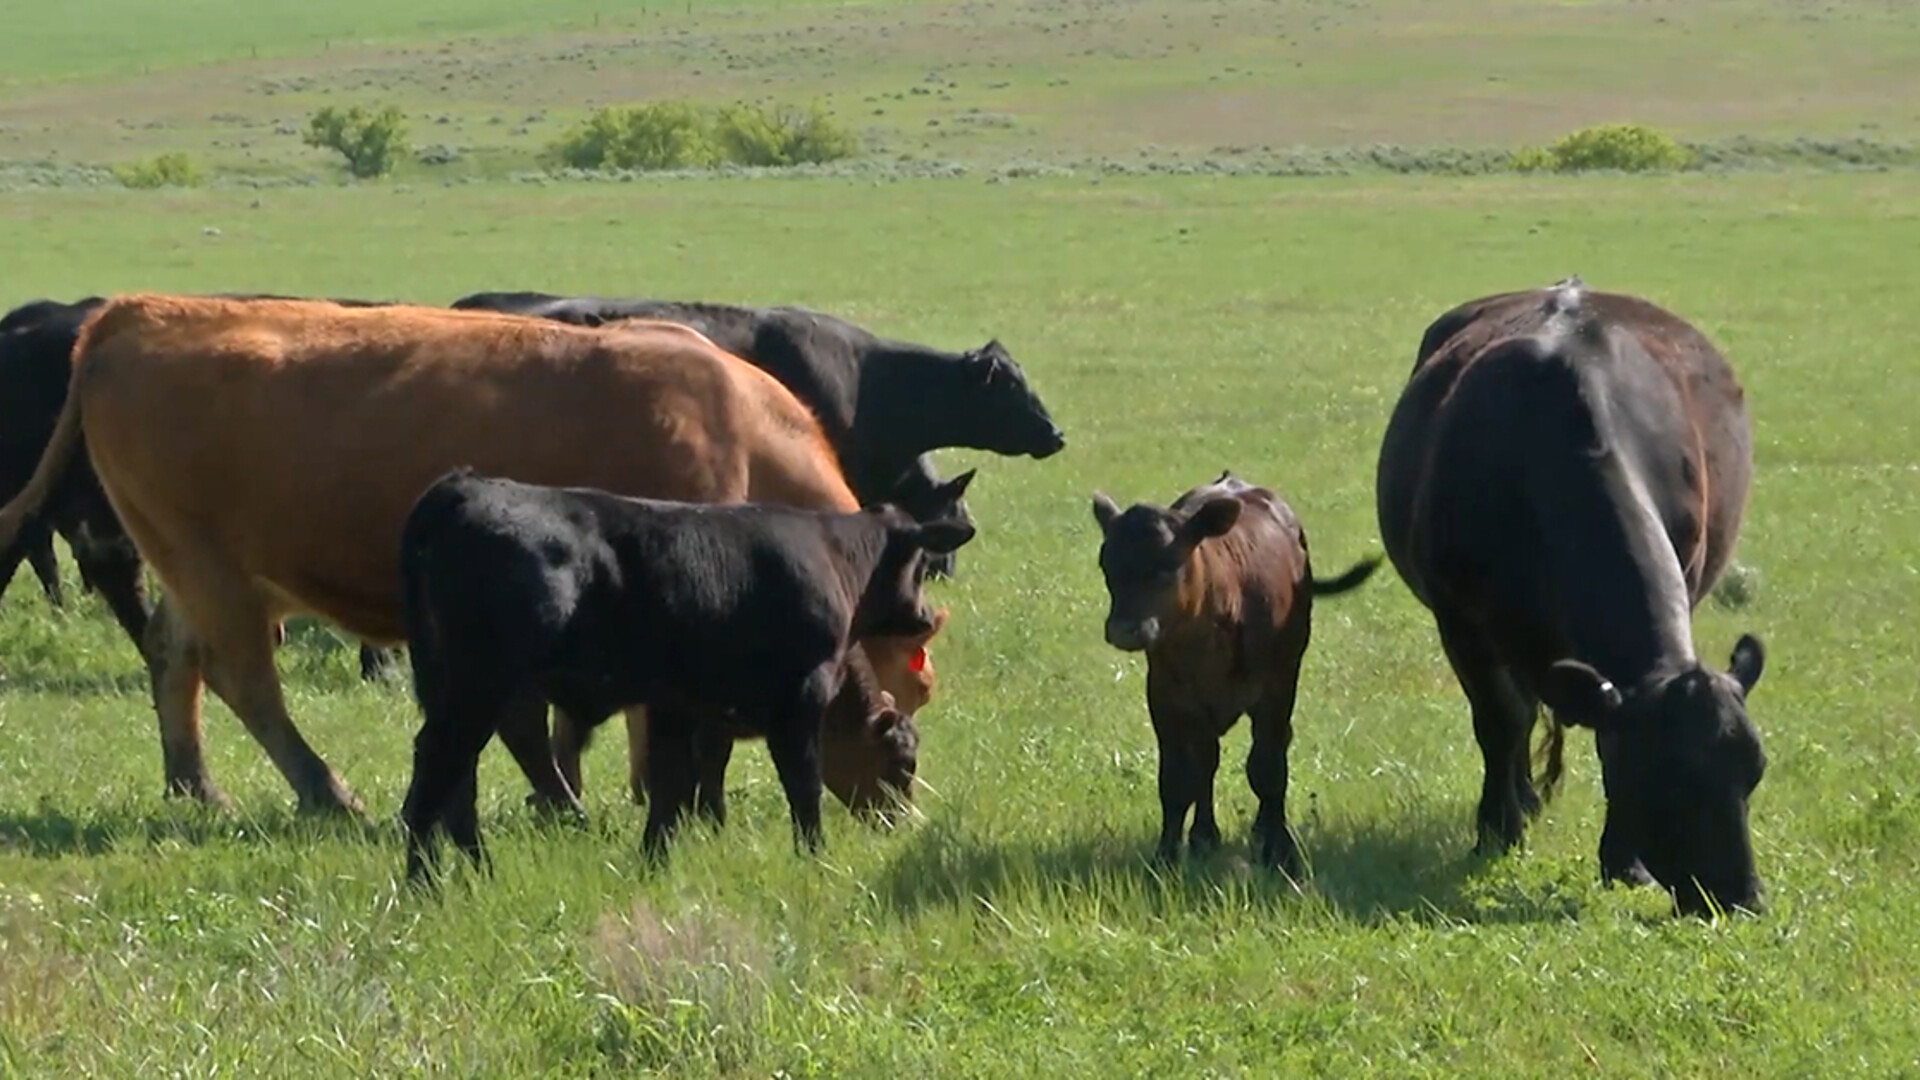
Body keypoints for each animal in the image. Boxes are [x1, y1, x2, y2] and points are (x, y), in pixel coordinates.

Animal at [396, 469, 973, 881]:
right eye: (902, 763)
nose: (897, 824)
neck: (835, 557)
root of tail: (464, 486)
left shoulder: (677, 707)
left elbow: (671, 788)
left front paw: (655, 862)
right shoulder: (797, 702)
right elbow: (802, 789)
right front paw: (814, 859)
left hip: (454, 687)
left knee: (458, 784)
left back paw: (474, 874)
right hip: (478, 687)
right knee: (437, 773)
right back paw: (425, 885)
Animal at [1092, 471, 1380, 878]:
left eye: (1169, 564)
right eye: (1107, 566)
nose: (1124, 629)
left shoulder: (1276, 687)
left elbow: (1267, 768)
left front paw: (1279, 851)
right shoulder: (1165, 695)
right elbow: (1178, 779)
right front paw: (1166, 858)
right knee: (1206, 760)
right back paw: (1204, 837)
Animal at [1375, 277, 1769, 916]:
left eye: (1753, 770)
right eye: (1667, 778)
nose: (1741, 898)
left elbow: (1598, 733)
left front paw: (1624, 862)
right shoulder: (1460, 619)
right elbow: (1500, 720)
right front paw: (1498, 829)